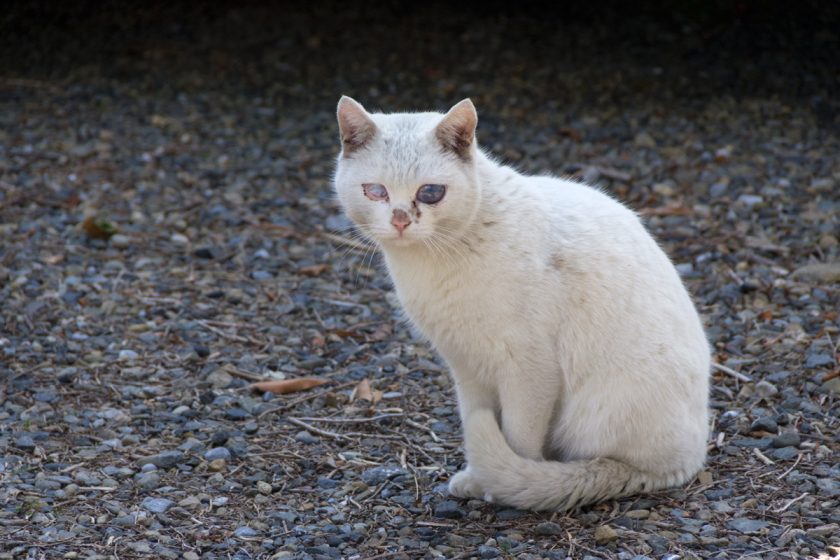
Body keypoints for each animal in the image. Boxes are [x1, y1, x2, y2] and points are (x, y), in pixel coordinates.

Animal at [334, 97, 708, 512]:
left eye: (430, 192)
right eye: (375, 192)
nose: (400, 221)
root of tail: (692, 458)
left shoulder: (529, 369)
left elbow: (518, 440)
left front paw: (498, 489)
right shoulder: (466, 365)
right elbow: (475, 420)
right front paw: (476, 479)